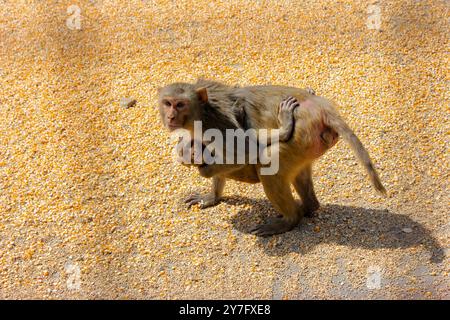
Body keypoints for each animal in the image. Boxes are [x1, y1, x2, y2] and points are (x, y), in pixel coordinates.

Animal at [156, 79, 384, 236]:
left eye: (180, 104)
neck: (201, 111)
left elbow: (243, 153)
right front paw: (212, 197)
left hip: (303, 133)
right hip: (310, 144)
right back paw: (308, 207)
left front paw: (204, 170)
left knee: (267, 158)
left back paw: (290, 219)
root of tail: (320, 105)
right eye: (167, 103)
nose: (170, 117)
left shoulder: (215, 122)